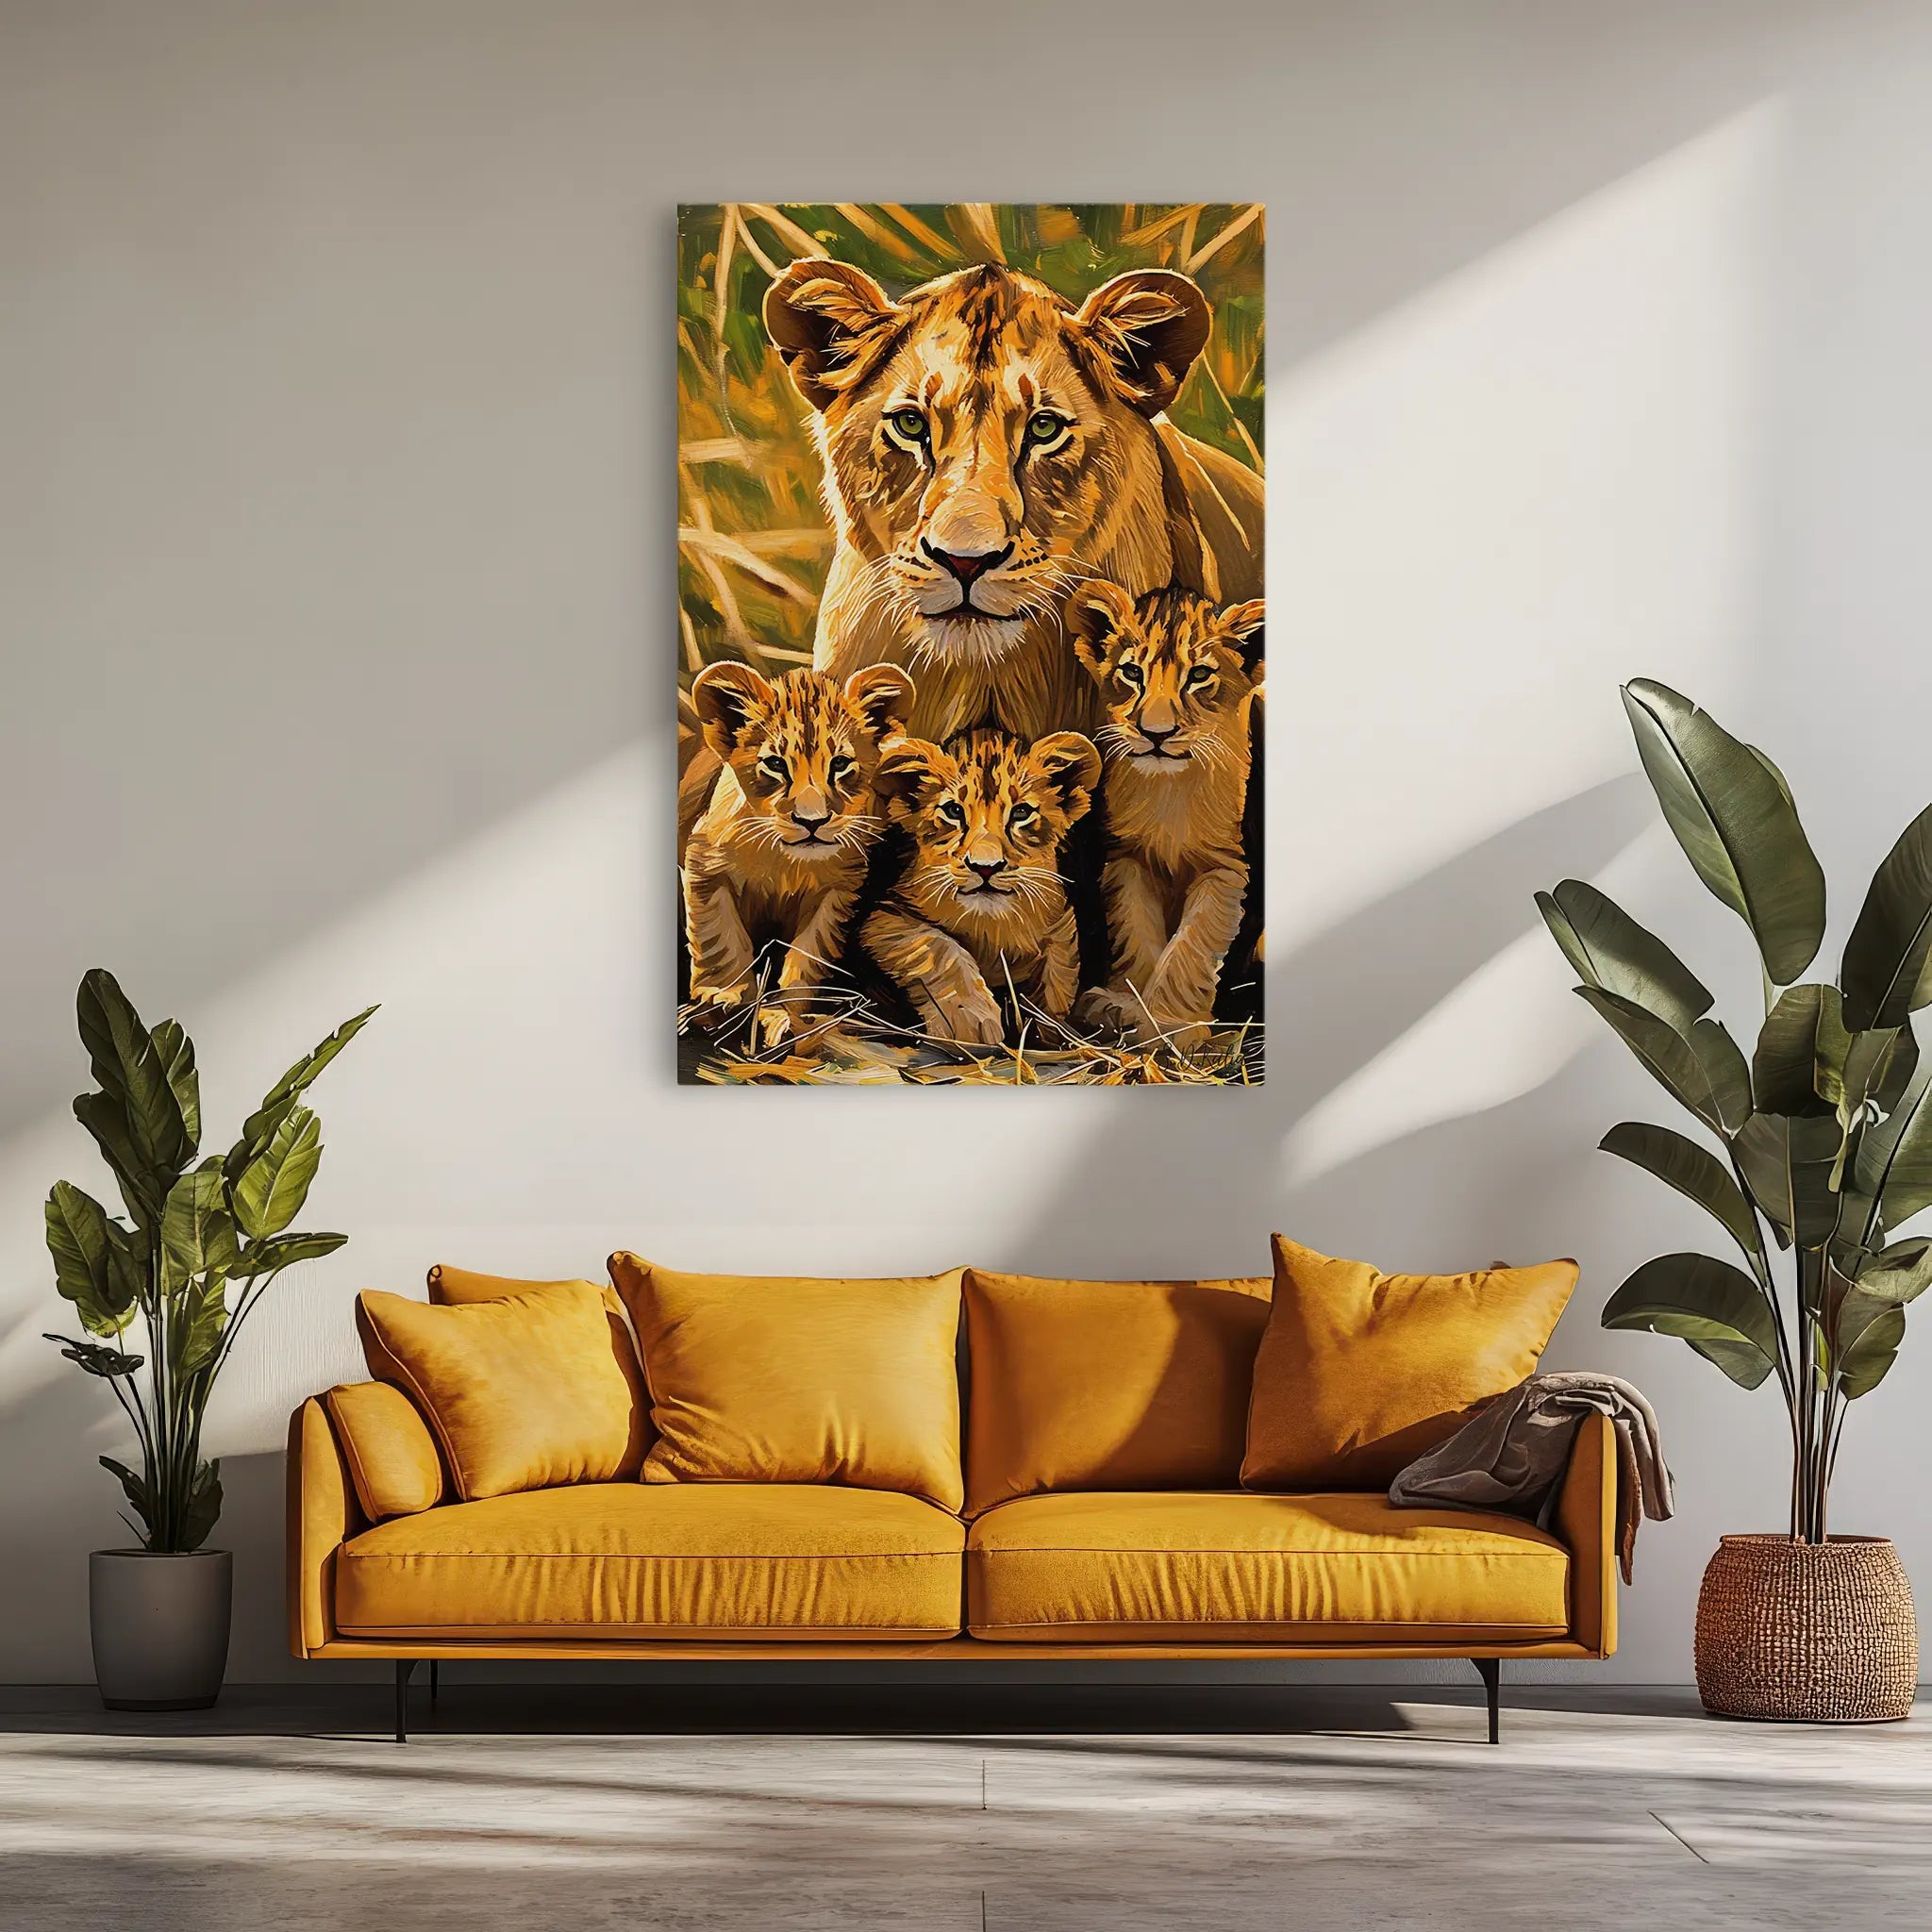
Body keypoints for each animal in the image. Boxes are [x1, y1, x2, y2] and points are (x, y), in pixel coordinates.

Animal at [683, 660, 913, 1045]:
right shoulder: (705, 865)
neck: (785, 862)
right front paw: (724, 997)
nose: (812, 821)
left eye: (840, 764)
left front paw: (788, 1015)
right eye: (776, 764)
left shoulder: (837, 892)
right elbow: (721, 939)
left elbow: (806, 956)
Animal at [864, 727, 1102, 1048]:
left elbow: (1058, 975)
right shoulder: (884, 916)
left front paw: (1052, 1031)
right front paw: (970, 1023)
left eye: (1021, 812)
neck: (992, 925)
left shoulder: (1060, 924)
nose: (985, 867)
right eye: (953, 811)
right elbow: (937, 946)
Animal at [1066, 582, 1264, 1041]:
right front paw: (1122, 1006)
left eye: (1199, 675)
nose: (1156, 734)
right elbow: (1136, 933)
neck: (1170, 792)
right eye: (1132, 673)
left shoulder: (1228, 867)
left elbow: (1192, 943)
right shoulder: (1129, 860)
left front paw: (1173, 1026)